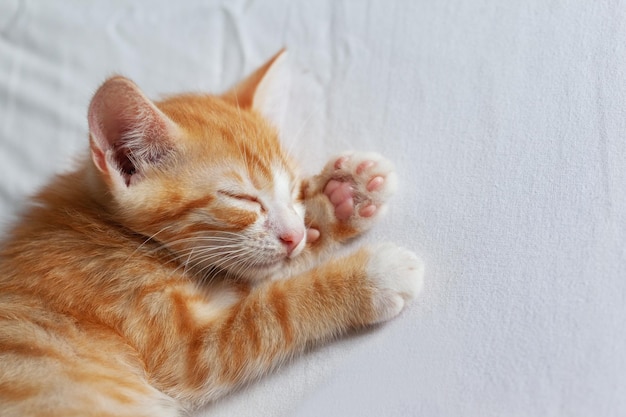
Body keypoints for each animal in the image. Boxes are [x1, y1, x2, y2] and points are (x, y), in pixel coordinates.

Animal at [0, 50, 424, 414]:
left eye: (292, 191)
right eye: (242, 198)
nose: (295, 236)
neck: (111, 230)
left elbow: (254, 277)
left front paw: (343, 195)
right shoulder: (184, 351)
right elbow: (271, 310)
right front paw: (371, 276)